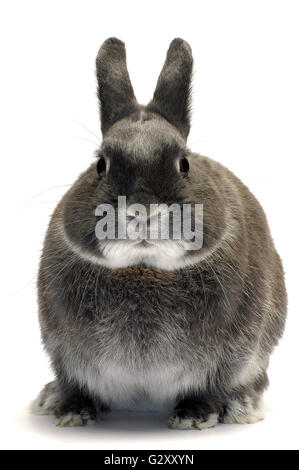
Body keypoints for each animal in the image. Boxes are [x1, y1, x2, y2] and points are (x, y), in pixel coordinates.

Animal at [31, 38, 288, 430]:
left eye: (184, 164)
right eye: (100, 165)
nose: (142, 211)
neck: (143, 268)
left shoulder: (229, 354)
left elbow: (206, 386)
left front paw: (194, 416)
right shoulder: (64, 351)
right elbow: (77, 382)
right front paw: (74, 411)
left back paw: (242, 405)